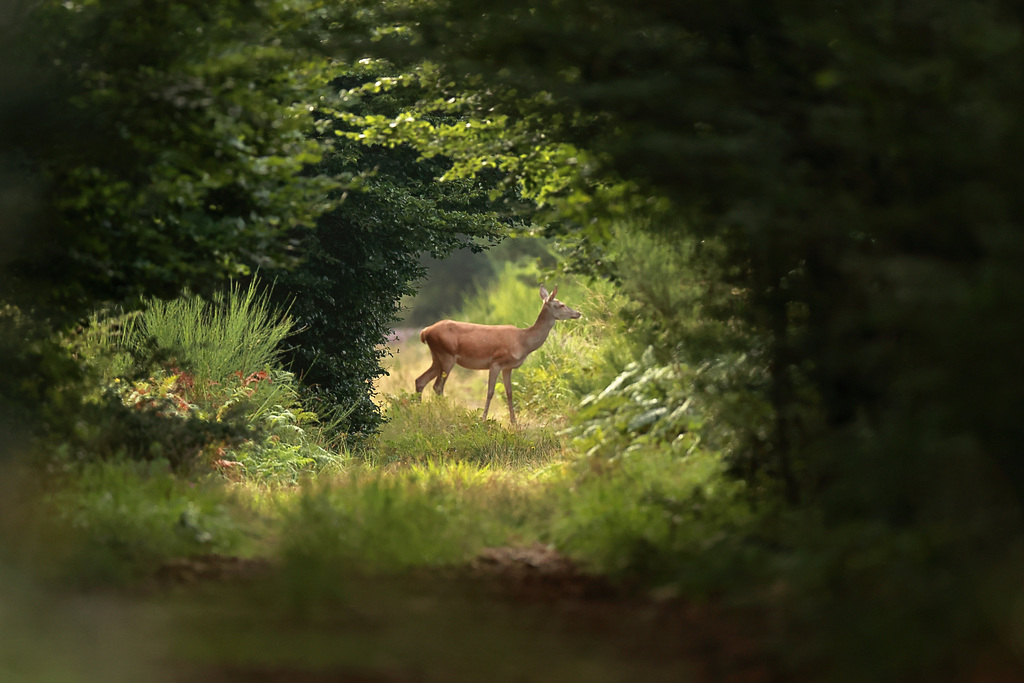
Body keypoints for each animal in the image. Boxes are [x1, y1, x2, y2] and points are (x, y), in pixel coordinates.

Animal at [411, 284, 581, 423]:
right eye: (561, 304)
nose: (578, 313)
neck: (523, 341)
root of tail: (425, 332)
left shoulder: (508, 367)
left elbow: (509, 392)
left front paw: (514, 422)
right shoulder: (496, 362)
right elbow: (490, 392)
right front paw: (483, 419)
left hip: (437, 357)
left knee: (421, 380)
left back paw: (420, 411)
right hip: (446, 355)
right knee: (438, 386)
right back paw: (444, 413)